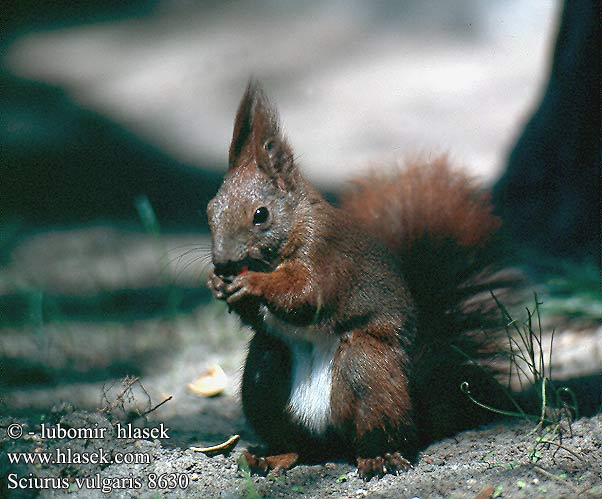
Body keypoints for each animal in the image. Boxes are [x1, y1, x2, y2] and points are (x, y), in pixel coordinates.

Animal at [205, 82, 506, 480]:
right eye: (209, 210)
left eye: (261, 215)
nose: (223, 262)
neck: (295, 229)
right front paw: (217, 284)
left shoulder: (327, 258)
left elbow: (305, 295)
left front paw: (254, 284)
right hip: (265, 376)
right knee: (296, 442)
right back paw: (272, 457)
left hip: (367, 368)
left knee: (379, 431)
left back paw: (380, 457)